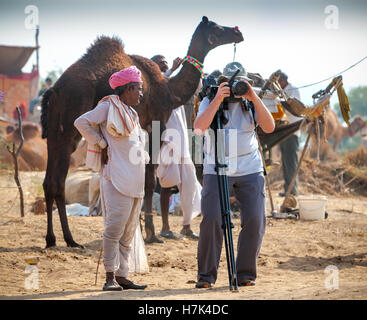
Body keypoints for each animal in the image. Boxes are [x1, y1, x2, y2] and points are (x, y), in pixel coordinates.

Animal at [40, 16, 244, 249]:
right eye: (217, 28)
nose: (238, 32)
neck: (170, 91)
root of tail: (54, 90)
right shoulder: (156, 125)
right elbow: (149, 181)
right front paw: (151, 234)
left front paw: (136, 227)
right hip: (69, 128)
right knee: (58, 181)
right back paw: (69, 239)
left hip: (54, 131)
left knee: (50, 182)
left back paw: (54, 239)